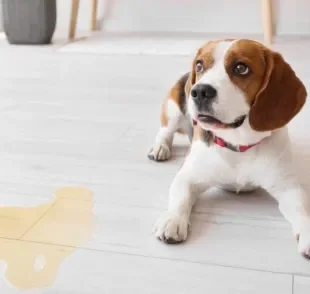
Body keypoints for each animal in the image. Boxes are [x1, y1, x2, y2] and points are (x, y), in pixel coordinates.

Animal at [148, 38, 310, 258]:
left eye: (241, 68)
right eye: (200, 65)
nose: (199, 91)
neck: (238, 145)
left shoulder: (288, 188)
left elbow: (302, 209)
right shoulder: (188, 176)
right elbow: (180, 198)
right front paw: (173, 220)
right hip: (173, 111)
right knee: (165, 132)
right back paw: (160, 148)